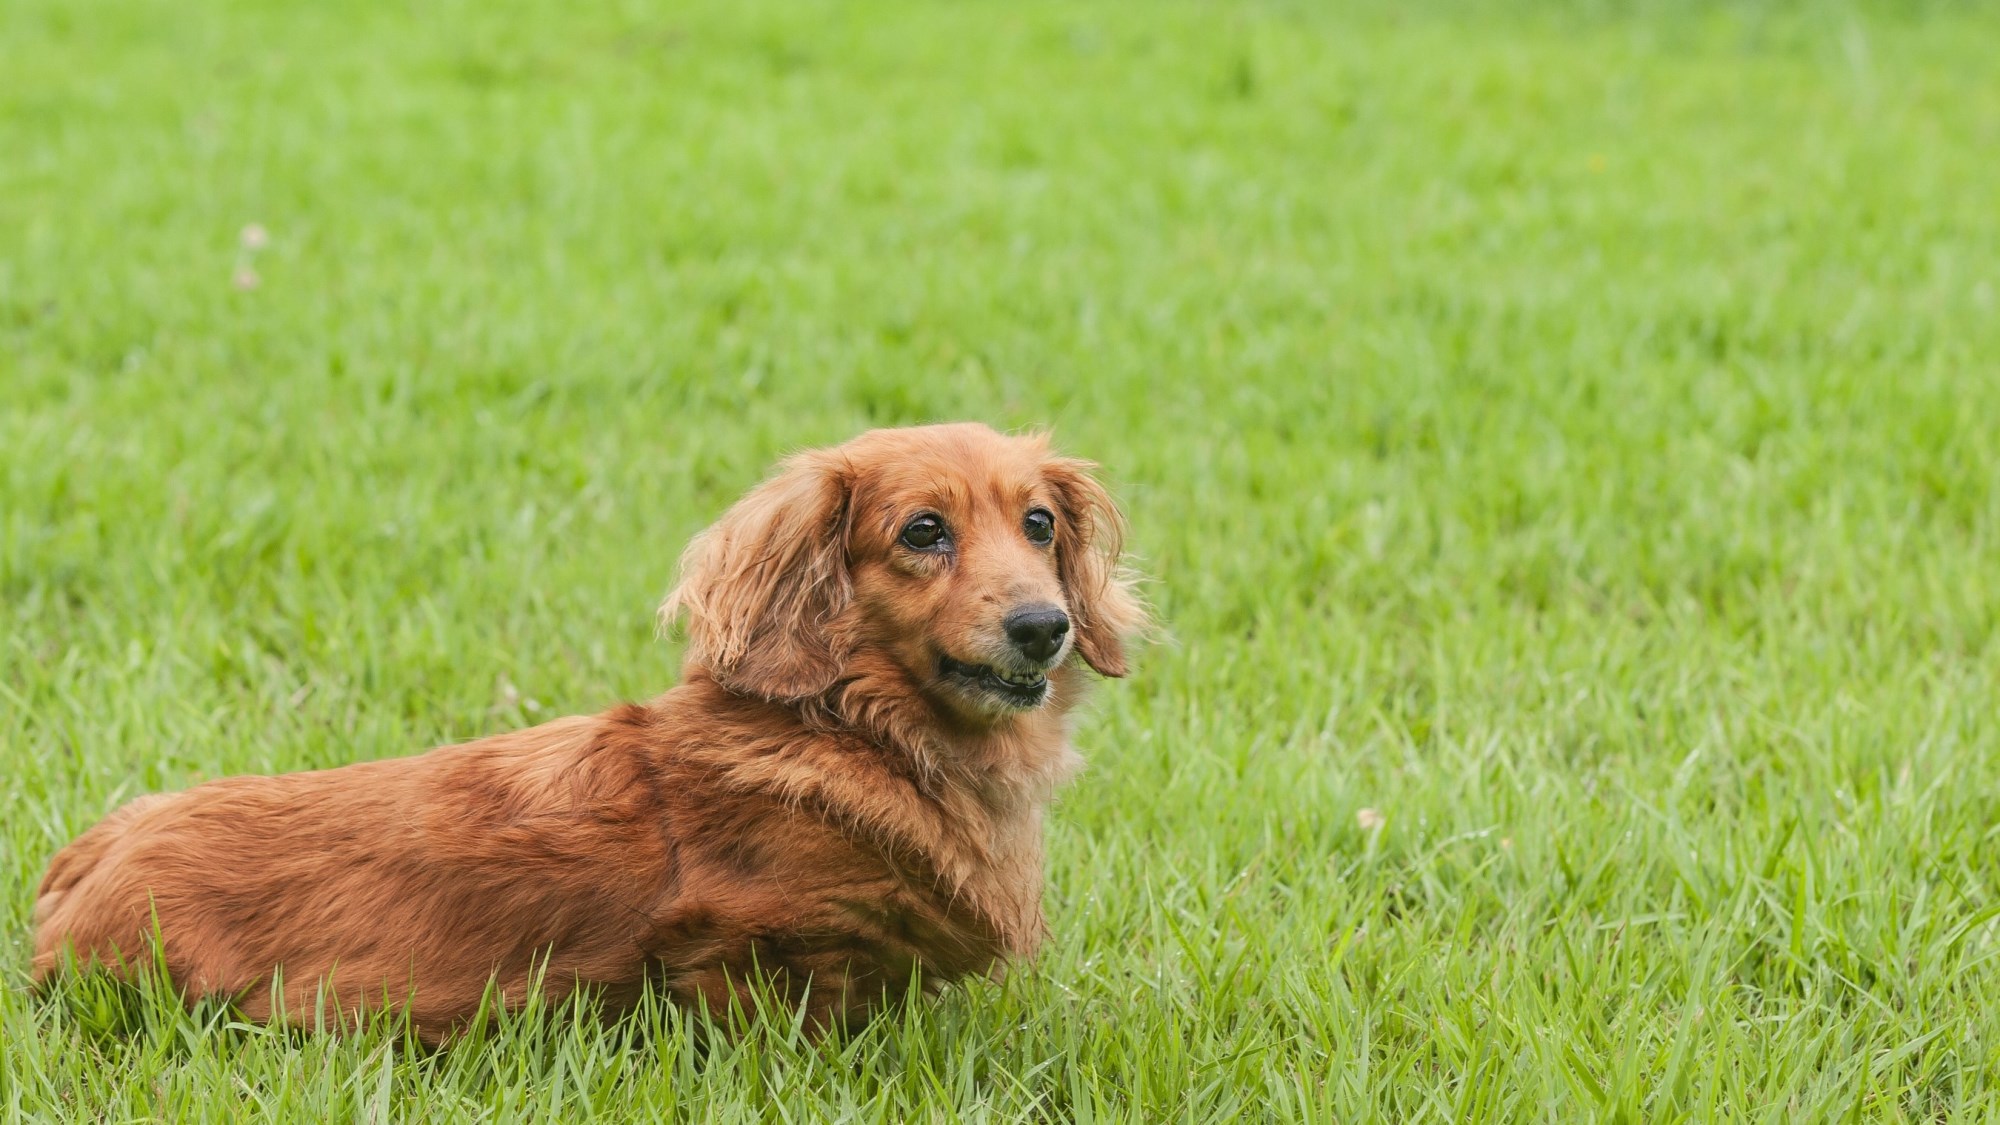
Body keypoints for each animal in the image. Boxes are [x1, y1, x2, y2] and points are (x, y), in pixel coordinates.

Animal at [27, 424, 1144, 1040]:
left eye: (1039, 523)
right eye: (922, 531)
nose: (1042, 627)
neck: (856, 734)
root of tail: (80, 865)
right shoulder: (757, 953)